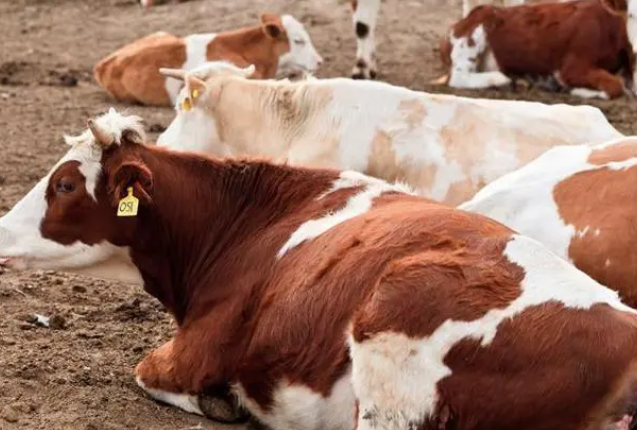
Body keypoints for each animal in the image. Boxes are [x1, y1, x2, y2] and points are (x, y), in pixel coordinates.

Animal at [0, 108, 636, 430]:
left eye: (64, 184)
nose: (2, 229)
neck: (245, 222)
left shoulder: (193, 352)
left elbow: (146, 372)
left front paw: (221, 403)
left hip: (393, 354)